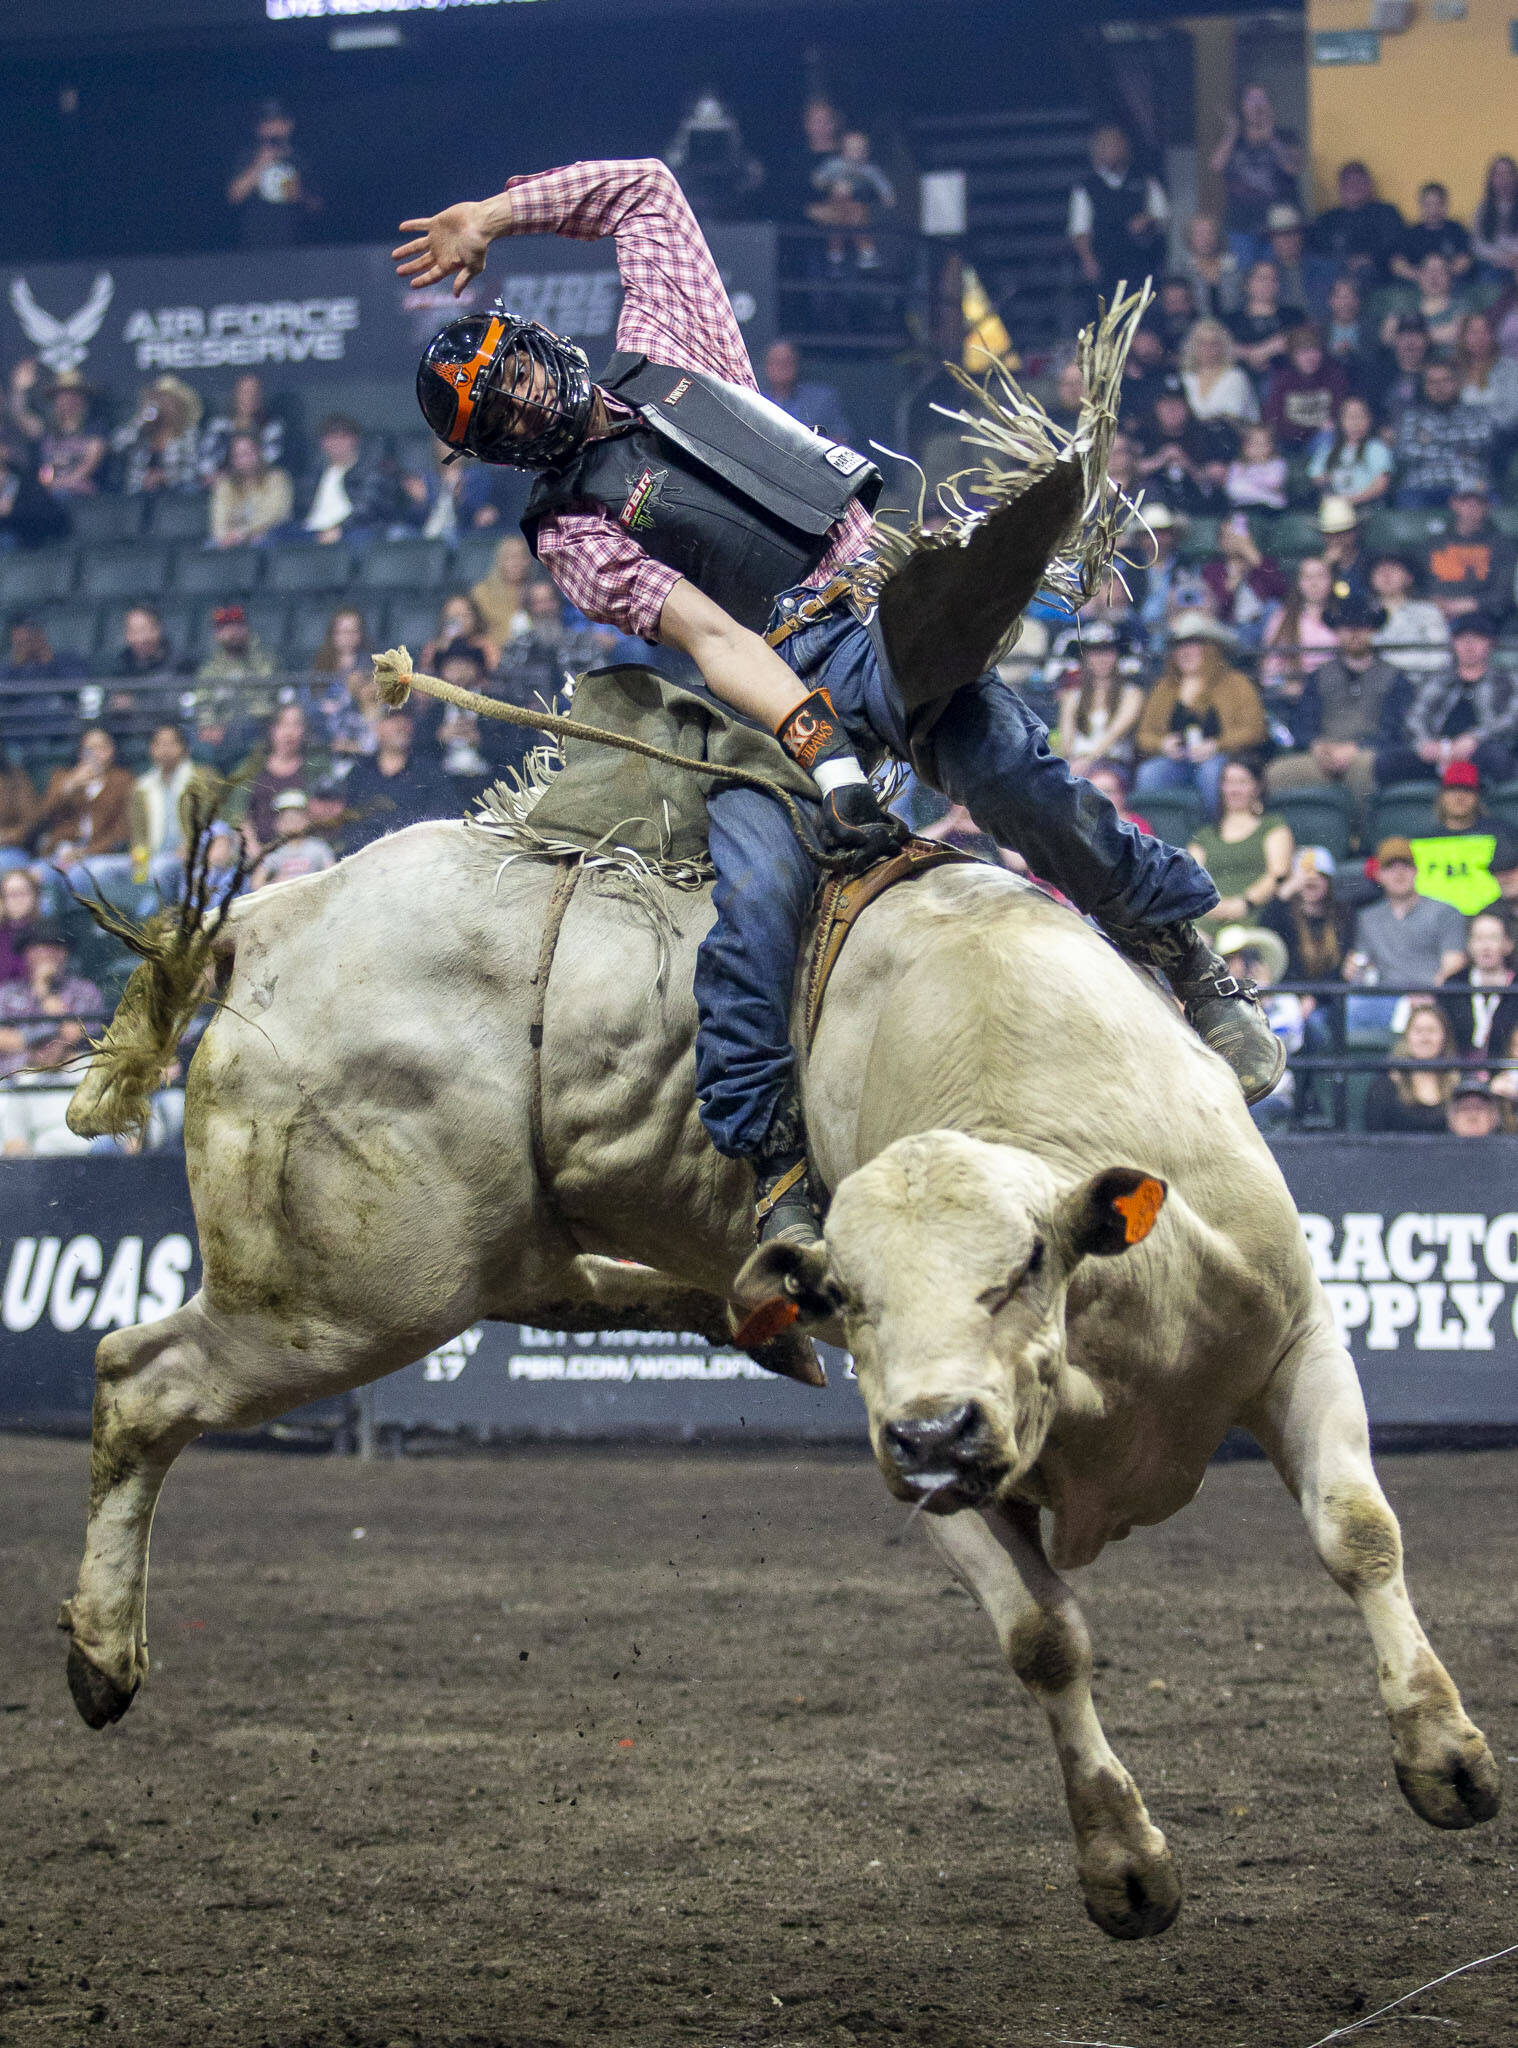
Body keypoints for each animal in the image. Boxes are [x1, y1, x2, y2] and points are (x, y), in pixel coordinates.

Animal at [56, 815, 1491, 1933]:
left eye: (1026, 1260)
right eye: (847, 1294)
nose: (934, 1431)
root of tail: (277, 919)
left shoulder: (1297, 1339)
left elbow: (1357, 1532)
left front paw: (1446, 1758)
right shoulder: (920, 1465)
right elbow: (1042, 1637)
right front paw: (1124, 1864)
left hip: (400, 1283)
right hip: (338, 1299)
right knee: (139, 1376)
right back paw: (101, 1657)